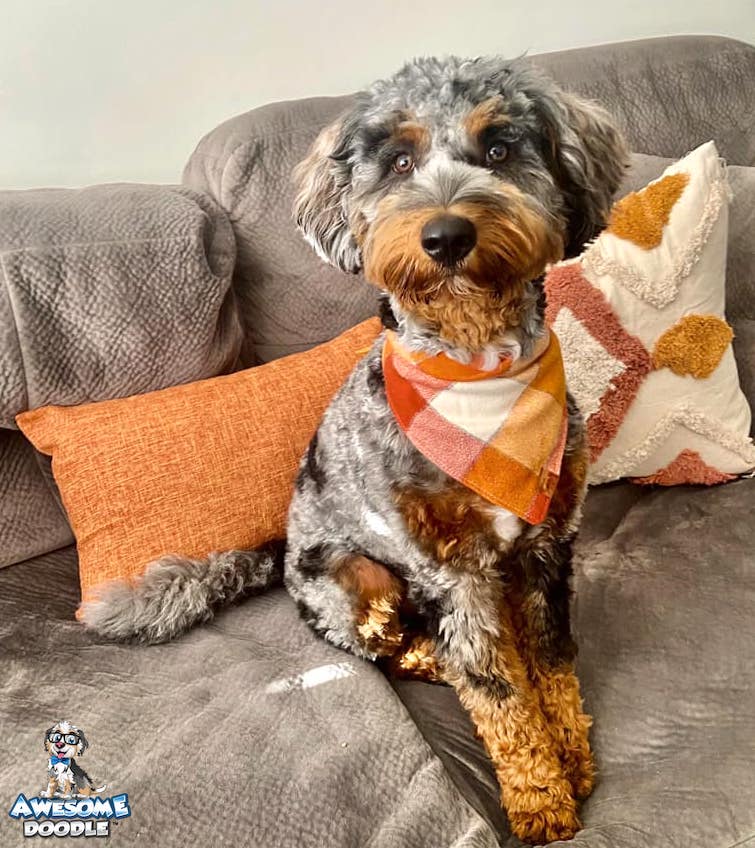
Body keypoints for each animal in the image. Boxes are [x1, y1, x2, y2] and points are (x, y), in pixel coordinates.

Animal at [81, 56, 628, 844]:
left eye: (498, 149)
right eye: (398, 162)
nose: (445, 236)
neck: (476, 365)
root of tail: (277, 553)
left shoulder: (549, 543)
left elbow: (552, 661)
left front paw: (572, 758)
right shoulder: (450, 569)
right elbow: (496, 690)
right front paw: (539, 798)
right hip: (356, 583)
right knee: (401, 648)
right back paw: (436, 656)